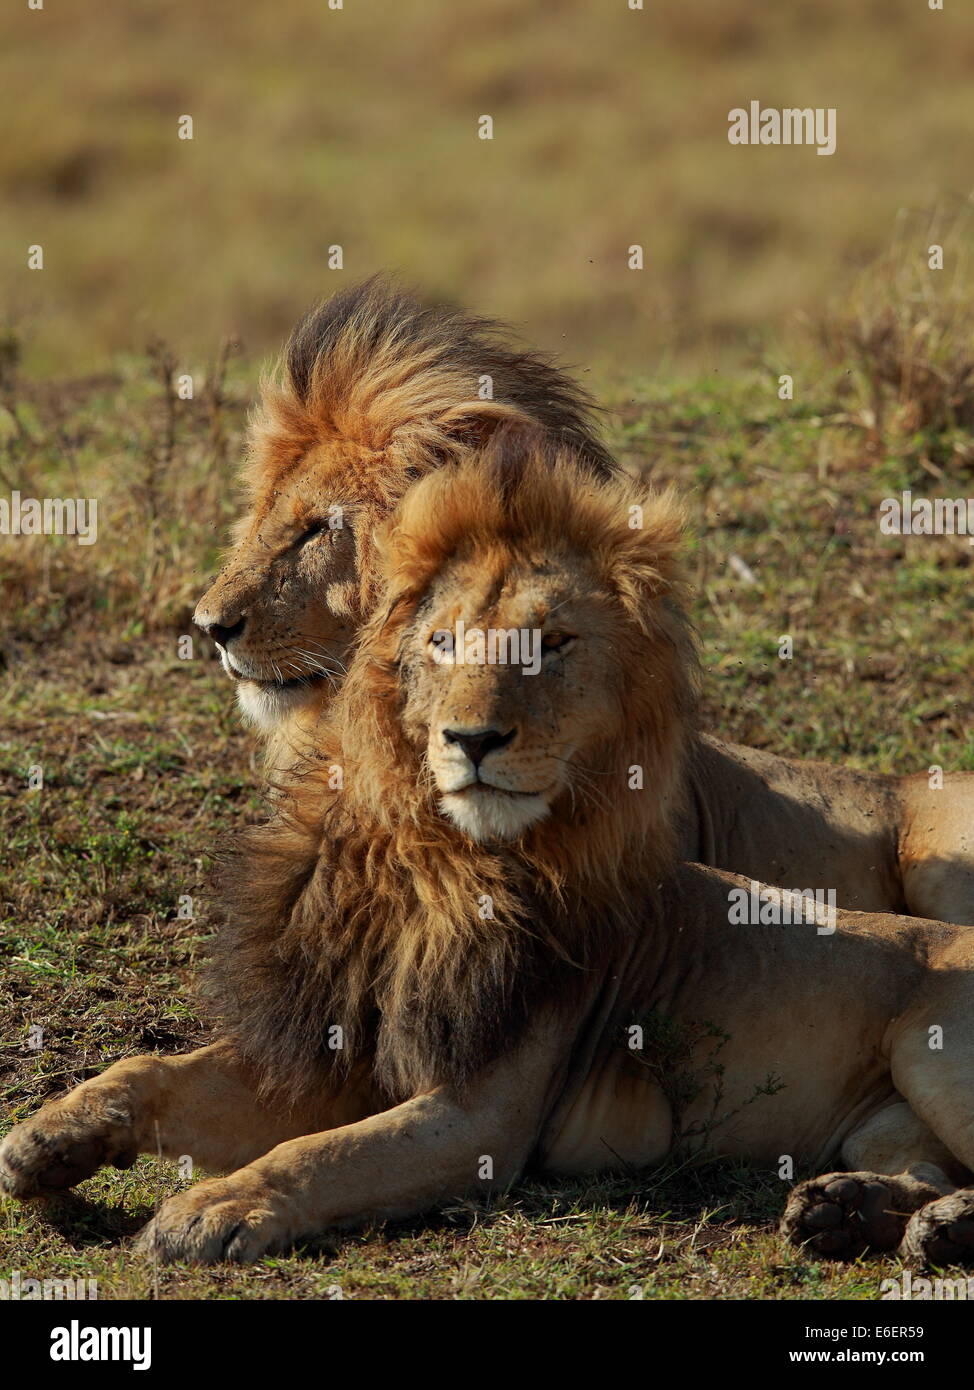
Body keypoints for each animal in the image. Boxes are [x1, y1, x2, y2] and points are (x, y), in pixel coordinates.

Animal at [4, 439, 974, 1269]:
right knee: (923, 1169)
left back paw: (927, 1228)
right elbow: (162, 1070)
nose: (471, 739)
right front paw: (50, 1139)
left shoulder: (482, 1117)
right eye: (441, 643)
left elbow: (327, 1153)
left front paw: (214, 1207)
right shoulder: (344, 1044)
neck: (439, 864)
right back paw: (848, 1210)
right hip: (884, 1120)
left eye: (551, 646)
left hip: (928, 1041)